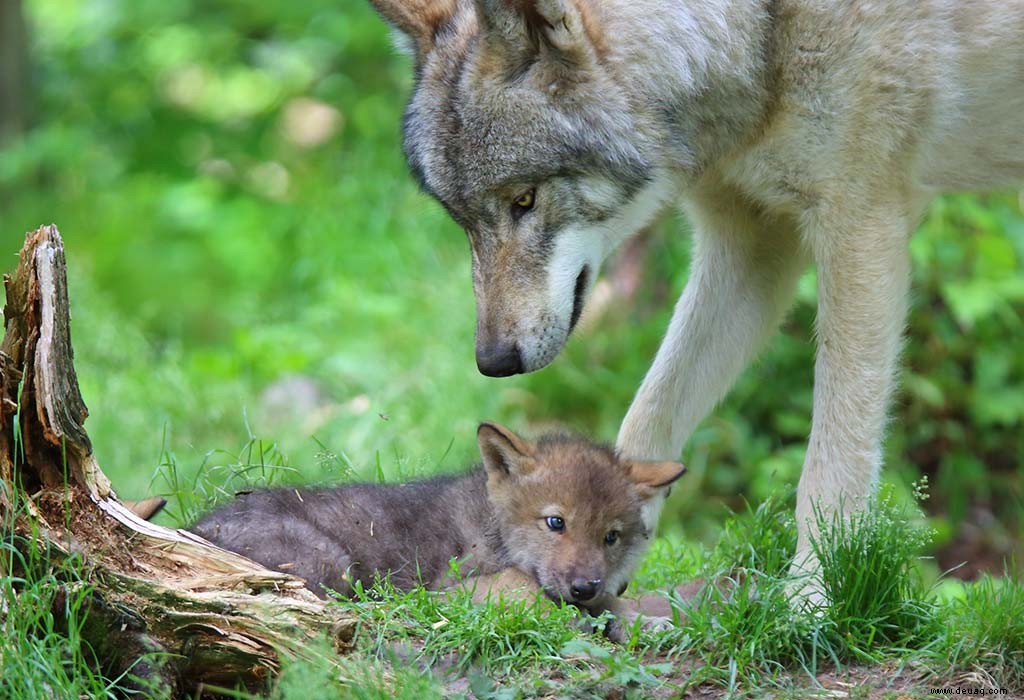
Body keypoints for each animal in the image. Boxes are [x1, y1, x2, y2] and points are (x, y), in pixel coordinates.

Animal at [368, 0, 1024, 589]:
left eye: (525, 200)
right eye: (462, 221)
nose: (493, 362)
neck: (765, 37)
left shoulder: (862, 228)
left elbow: (833, 460)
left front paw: (810, 603)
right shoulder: (756, 247)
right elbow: (646, 418)